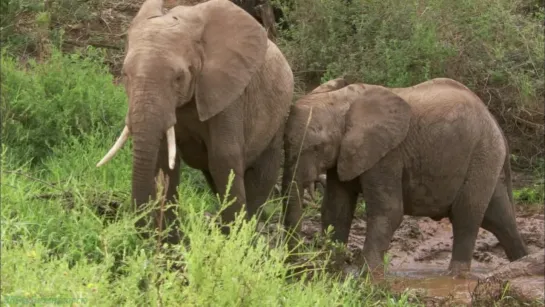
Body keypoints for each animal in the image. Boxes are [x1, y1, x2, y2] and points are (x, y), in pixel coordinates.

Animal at [96, 0, 294, 245]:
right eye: (125, 75)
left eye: (179, 78)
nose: (145, 235)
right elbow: (165, 160)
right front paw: (171, 243)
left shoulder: (229, 95)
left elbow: (223, 159)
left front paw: (228, 244)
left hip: (279, 115)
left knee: (261, 176)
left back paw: (248, 236)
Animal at [280, 77, 528, 276]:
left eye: (316, 148)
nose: (293, 266)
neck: (342, 102)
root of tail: (495, 123)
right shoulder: (346, 154)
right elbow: (336, 210)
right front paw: (332, 270)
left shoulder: (388, 155)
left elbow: (388, 211)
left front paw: (367, 277)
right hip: (485, 158)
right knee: (498, 218)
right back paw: (521, 263)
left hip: (481, 154)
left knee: (466, 215)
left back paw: (456, 277)